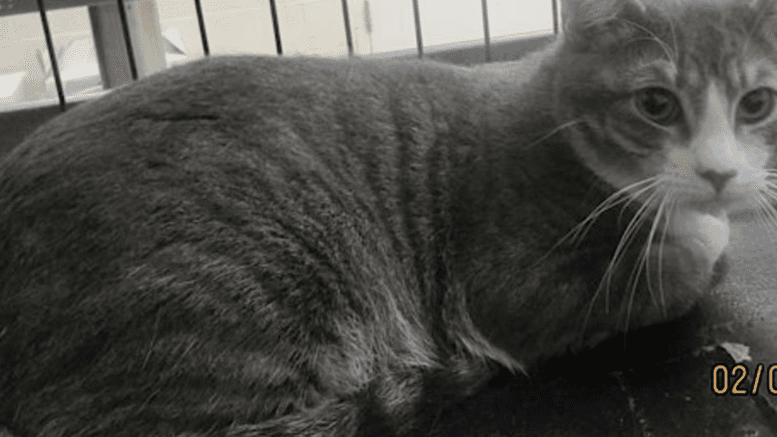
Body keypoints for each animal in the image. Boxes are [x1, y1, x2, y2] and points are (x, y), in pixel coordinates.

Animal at [1, 0, 776, 434]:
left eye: (757, 103)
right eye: (655, 104)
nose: (719, 171)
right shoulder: (518, 289)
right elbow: (686, 270)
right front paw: (704, 248)